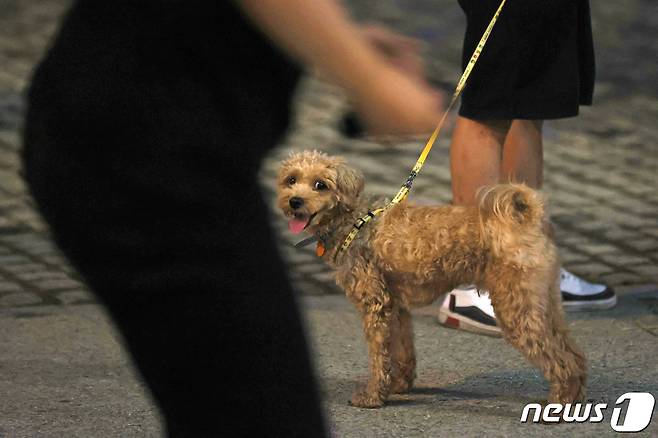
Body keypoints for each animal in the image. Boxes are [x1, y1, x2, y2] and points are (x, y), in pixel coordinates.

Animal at [276, 151, 584, 408]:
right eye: (291, 180)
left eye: (320, 185)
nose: (294, 201)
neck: (355, 221)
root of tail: (527, 220)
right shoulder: (396, 307)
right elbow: (401, 351)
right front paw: (399, 385)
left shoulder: (376, 306)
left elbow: (379, 357)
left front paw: (373, 397)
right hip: (544, 303)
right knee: (575, 356)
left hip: (517, 310)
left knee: (562, 362)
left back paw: (560, 402)